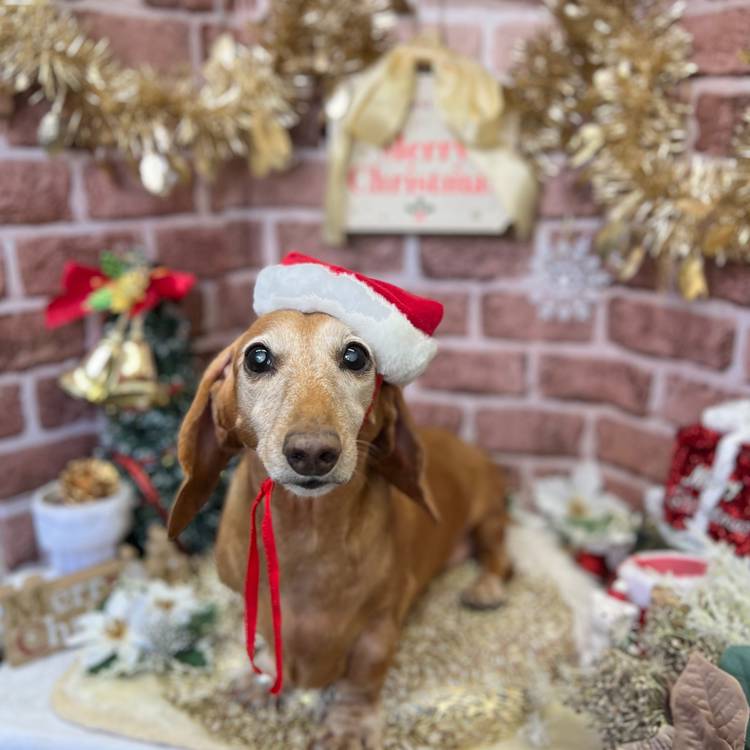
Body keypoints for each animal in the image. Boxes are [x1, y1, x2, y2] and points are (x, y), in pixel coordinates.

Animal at [168, 309, 511, 749]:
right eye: (257, 358)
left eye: (355, 355)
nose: (312, 453)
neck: (307, 530)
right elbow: (269, 643)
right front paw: (263, 680)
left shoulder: (380, 625)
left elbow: (362, 677)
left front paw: (349, 725)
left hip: (489, 517)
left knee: (500, 558)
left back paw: (486, 588)